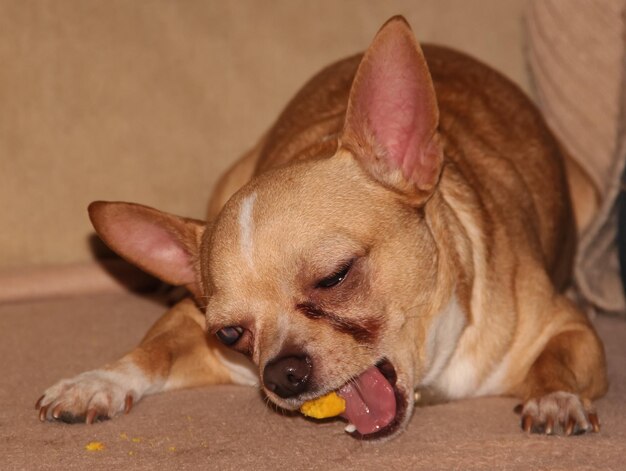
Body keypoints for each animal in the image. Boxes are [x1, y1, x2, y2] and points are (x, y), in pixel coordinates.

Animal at [35, 15, 604, 442]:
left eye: (336, 277)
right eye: (230, 334)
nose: (281, 373)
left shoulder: (570, 330)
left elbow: (556, 361)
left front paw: (555, 398)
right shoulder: (188, 328)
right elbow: (149, 353)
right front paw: (93, 383)